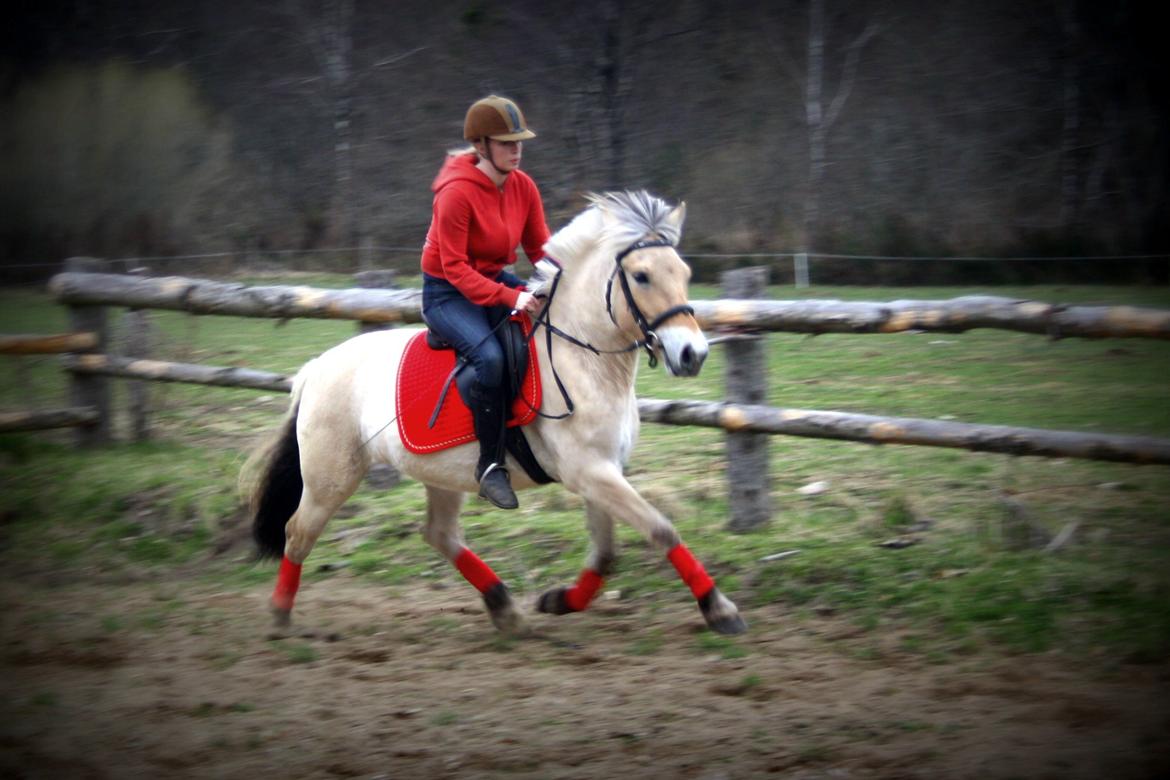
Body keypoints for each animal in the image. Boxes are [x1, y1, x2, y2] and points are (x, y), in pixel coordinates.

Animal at [242, 191, 744, 636]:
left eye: (684, 271)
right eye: (641, 276)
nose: (692, 354)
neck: (582, 358)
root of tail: (316, 368)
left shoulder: (602, 471)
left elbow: (605, 554)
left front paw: (559, 600)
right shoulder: (590, 472)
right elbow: (661, 530)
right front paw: (719, 609)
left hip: (440, 472)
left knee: (439, 535)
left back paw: (506, 609)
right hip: (331, 477)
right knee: (298, 532)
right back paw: (279, 617)